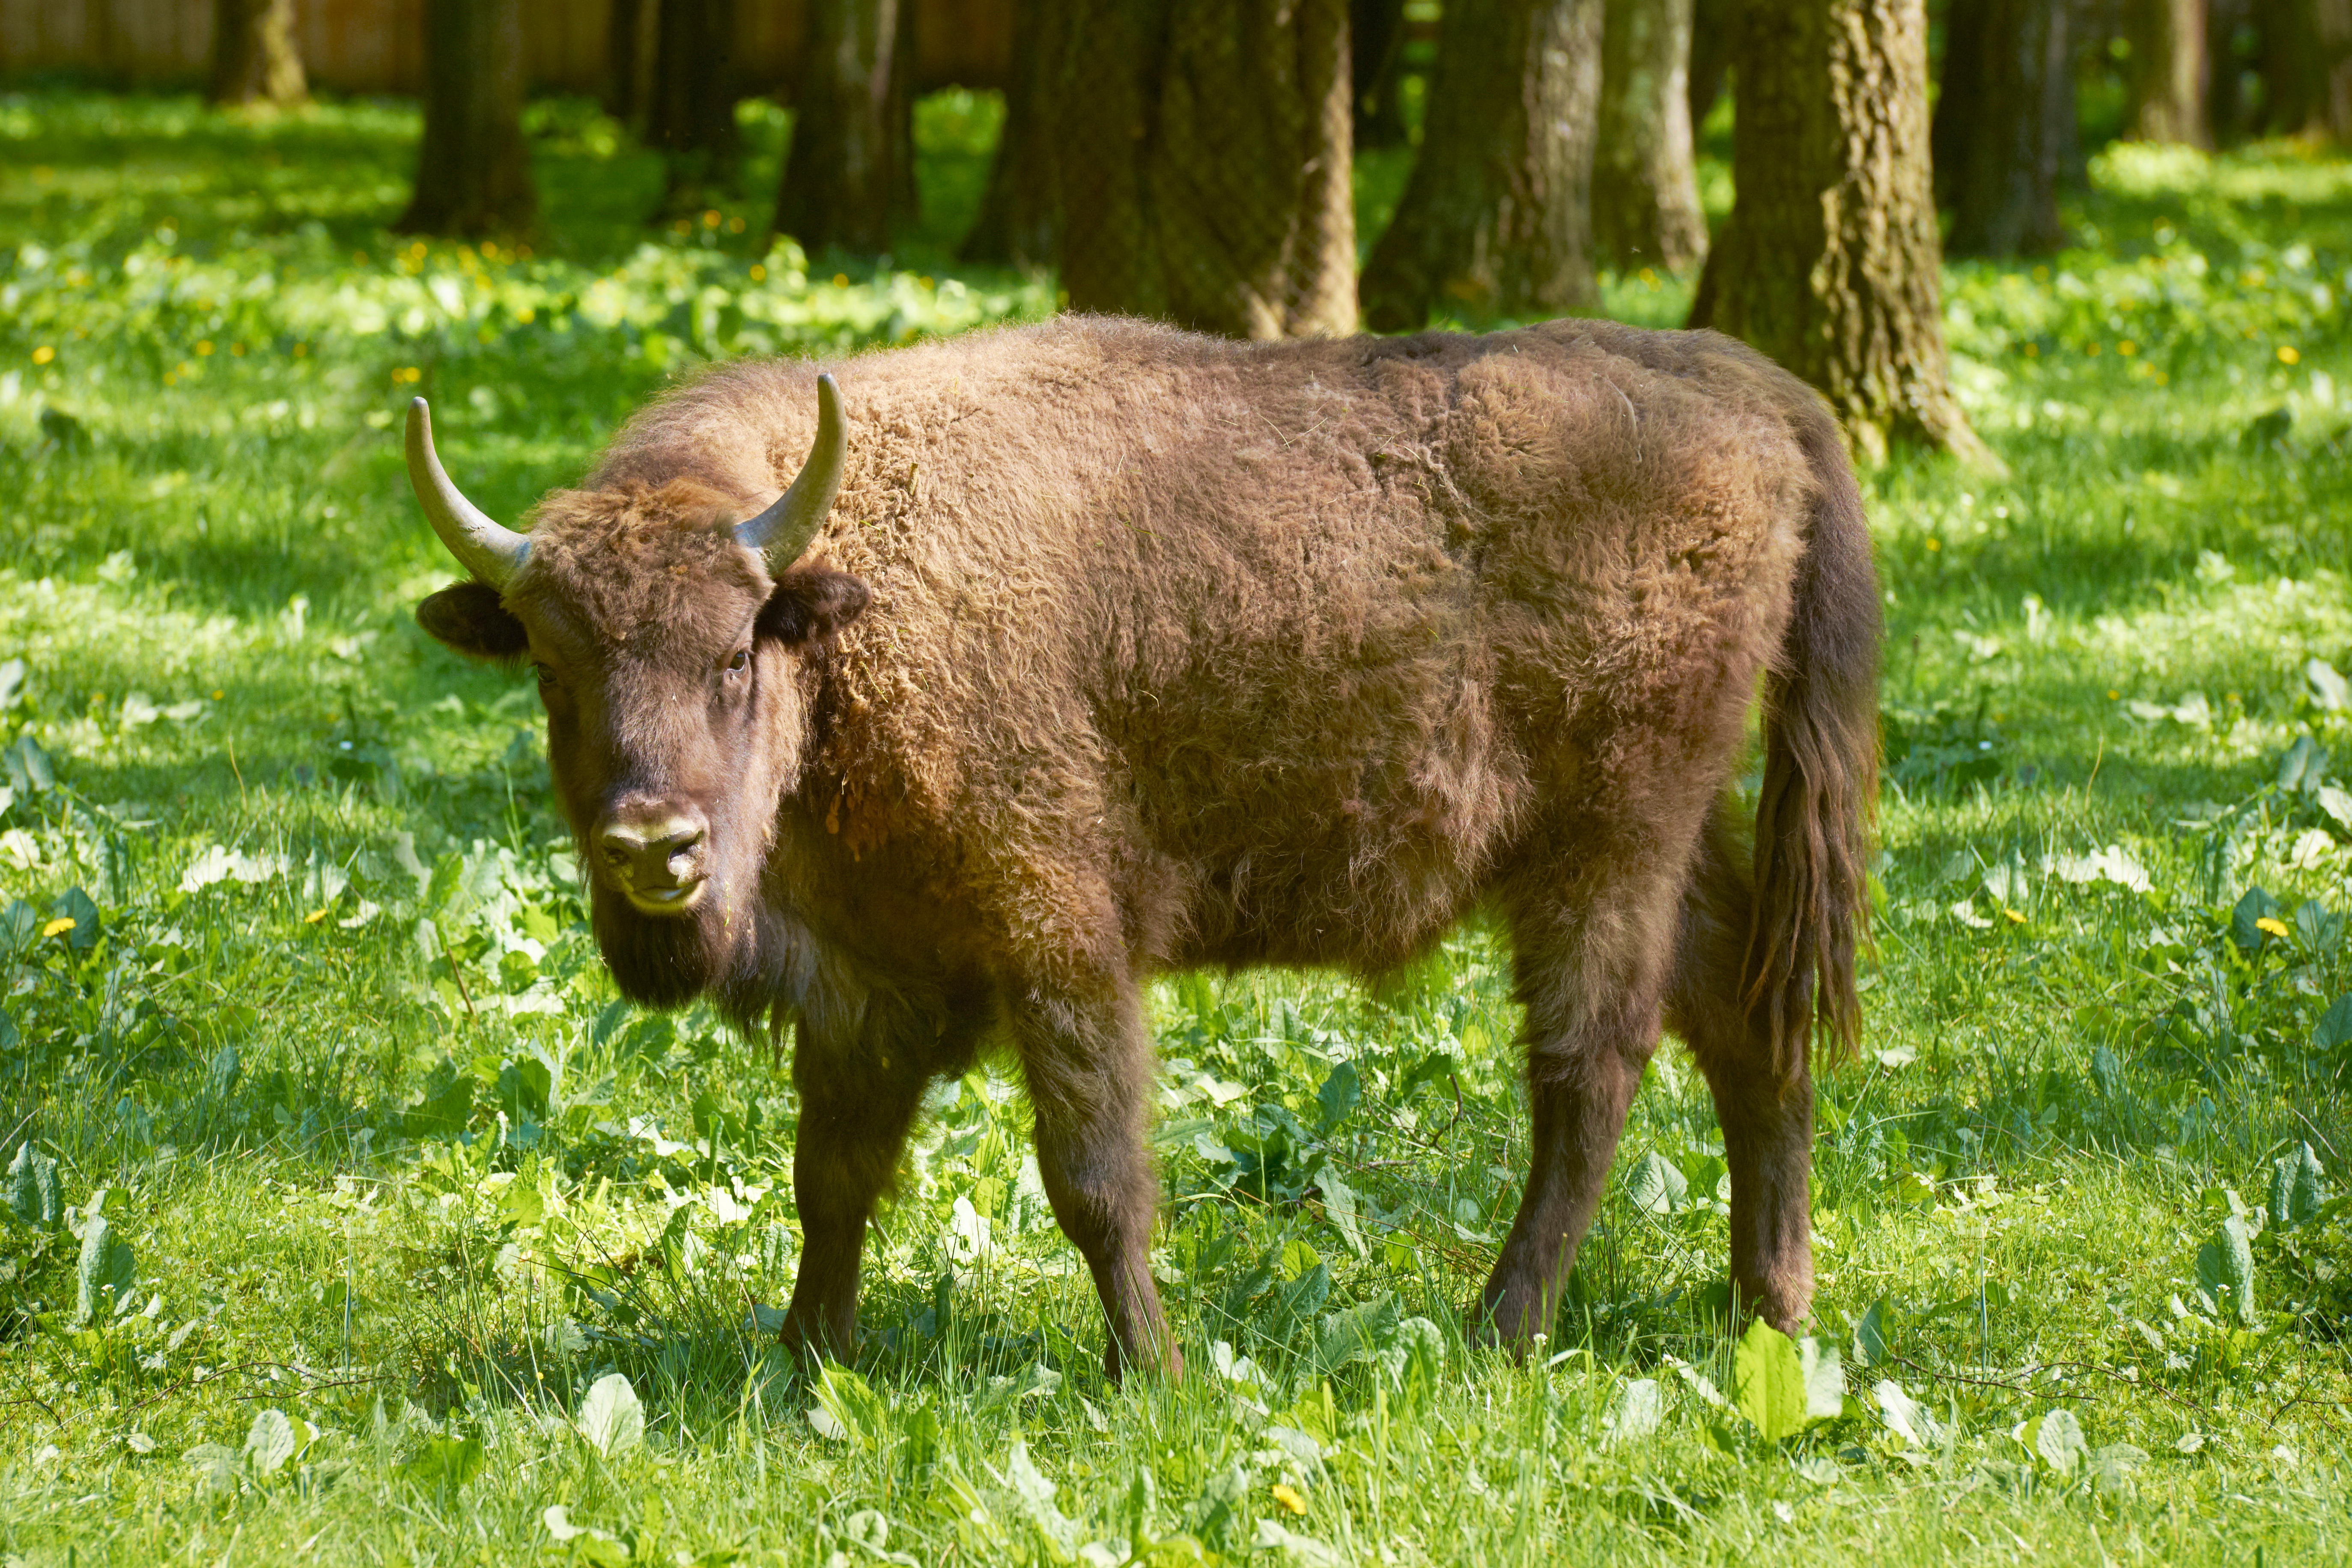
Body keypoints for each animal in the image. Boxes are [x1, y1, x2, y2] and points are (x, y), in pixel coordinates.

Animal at [404, 313, 1872, 1382]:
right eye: (551, 670)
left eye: (729, 653)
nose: (654, 845)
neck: (850, 605)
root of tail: (1752, 391)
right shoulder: (866, 976)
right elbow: (833, 1173)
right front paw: (805, 1357)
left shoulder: (1056, 936)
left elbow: (1093, 1171)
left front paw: (1150, 1371)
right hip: (1671, 843)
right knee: (1750, 1022)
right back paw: (1766, 1306)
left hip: (1604, 846)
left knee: (1594, 1065)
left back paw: (1497, 1329)